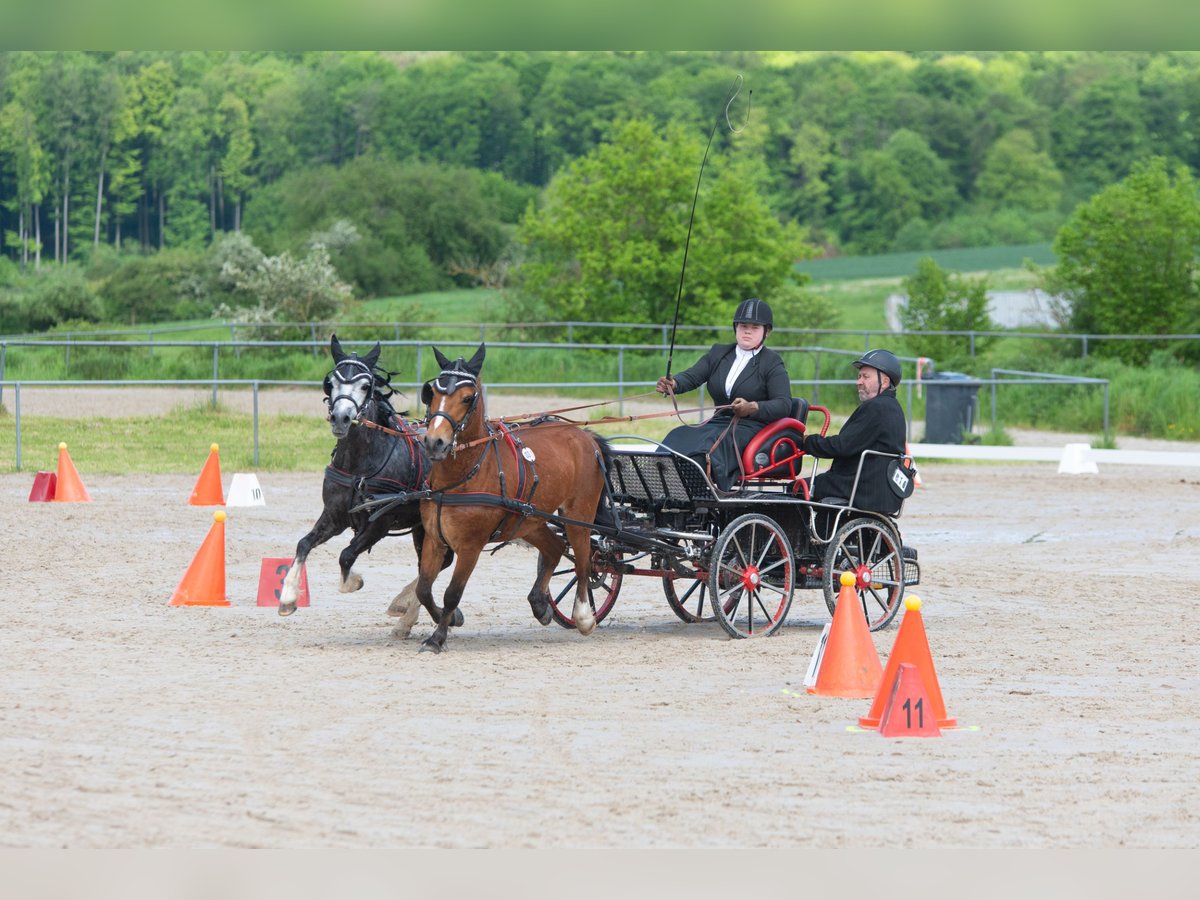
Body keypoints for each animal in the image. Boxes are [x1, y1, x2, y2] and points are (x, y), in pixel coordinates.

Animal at [278, 336, 456, 638]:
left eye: (365, 385)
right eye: (330, 383)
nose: (340, 418)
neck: (358, 466)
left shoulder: (379, 523)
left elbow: (346, 555)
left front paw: (353, 581)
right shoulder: (334, 517)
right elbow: (303, 544)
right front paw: (288, 597)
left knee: (437, 565)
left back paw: (408, 610)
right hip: (421, 527)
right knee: (430, 566)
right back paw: (406, 614)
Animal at [412, 340, 614, 652]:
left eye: (467, 398)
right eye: (432, 391)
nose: (435, 442)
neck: (463, 475)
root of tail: (585, 436)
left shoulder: (470, 547)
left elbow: (452, 593)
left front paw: (437, 637)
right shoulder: (435, 539)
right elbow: (423, 589)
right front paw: (449, 619)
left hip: (578, 514)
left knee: (583, 561)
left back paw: (583, 616)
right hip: (528, 519)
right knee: (555, 548)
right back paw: (540, 605)